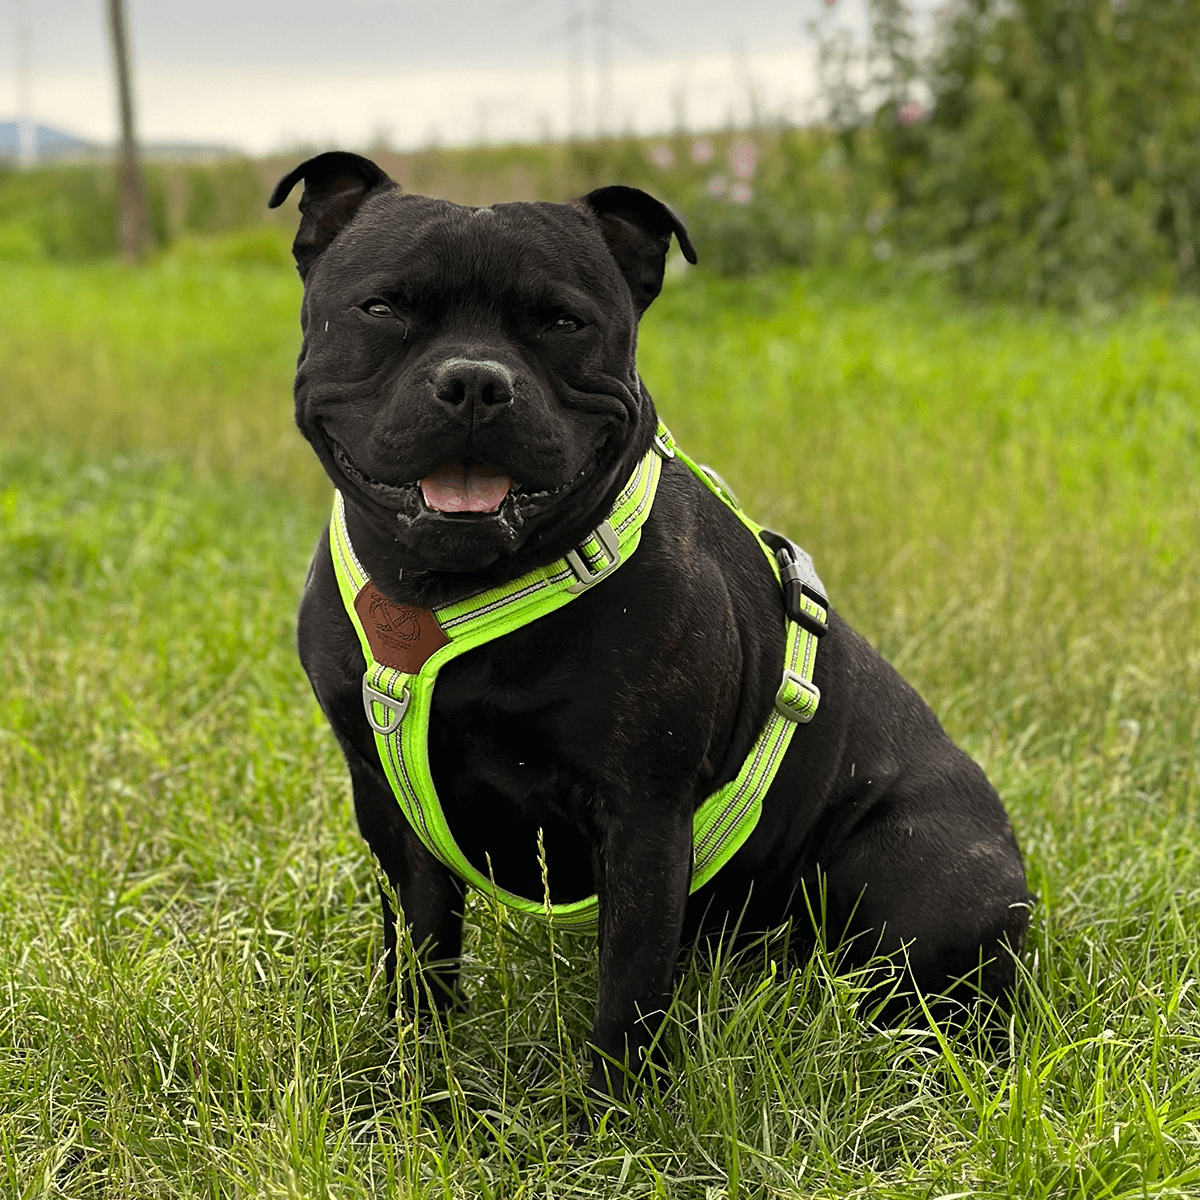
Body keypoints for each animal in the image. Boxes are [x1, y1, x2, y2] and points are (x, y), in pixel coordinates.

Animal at [270, 152, 1032, 1104]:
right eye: (382, 309)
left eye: (563, 322)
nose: (476, 381)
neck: (452, 592)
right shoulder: (390, 806)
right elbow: (421, 956)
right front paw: (413, 1084)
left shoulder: (643, 816)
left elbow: (627, 993)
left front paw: (605, 1117)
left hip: (915, 872)